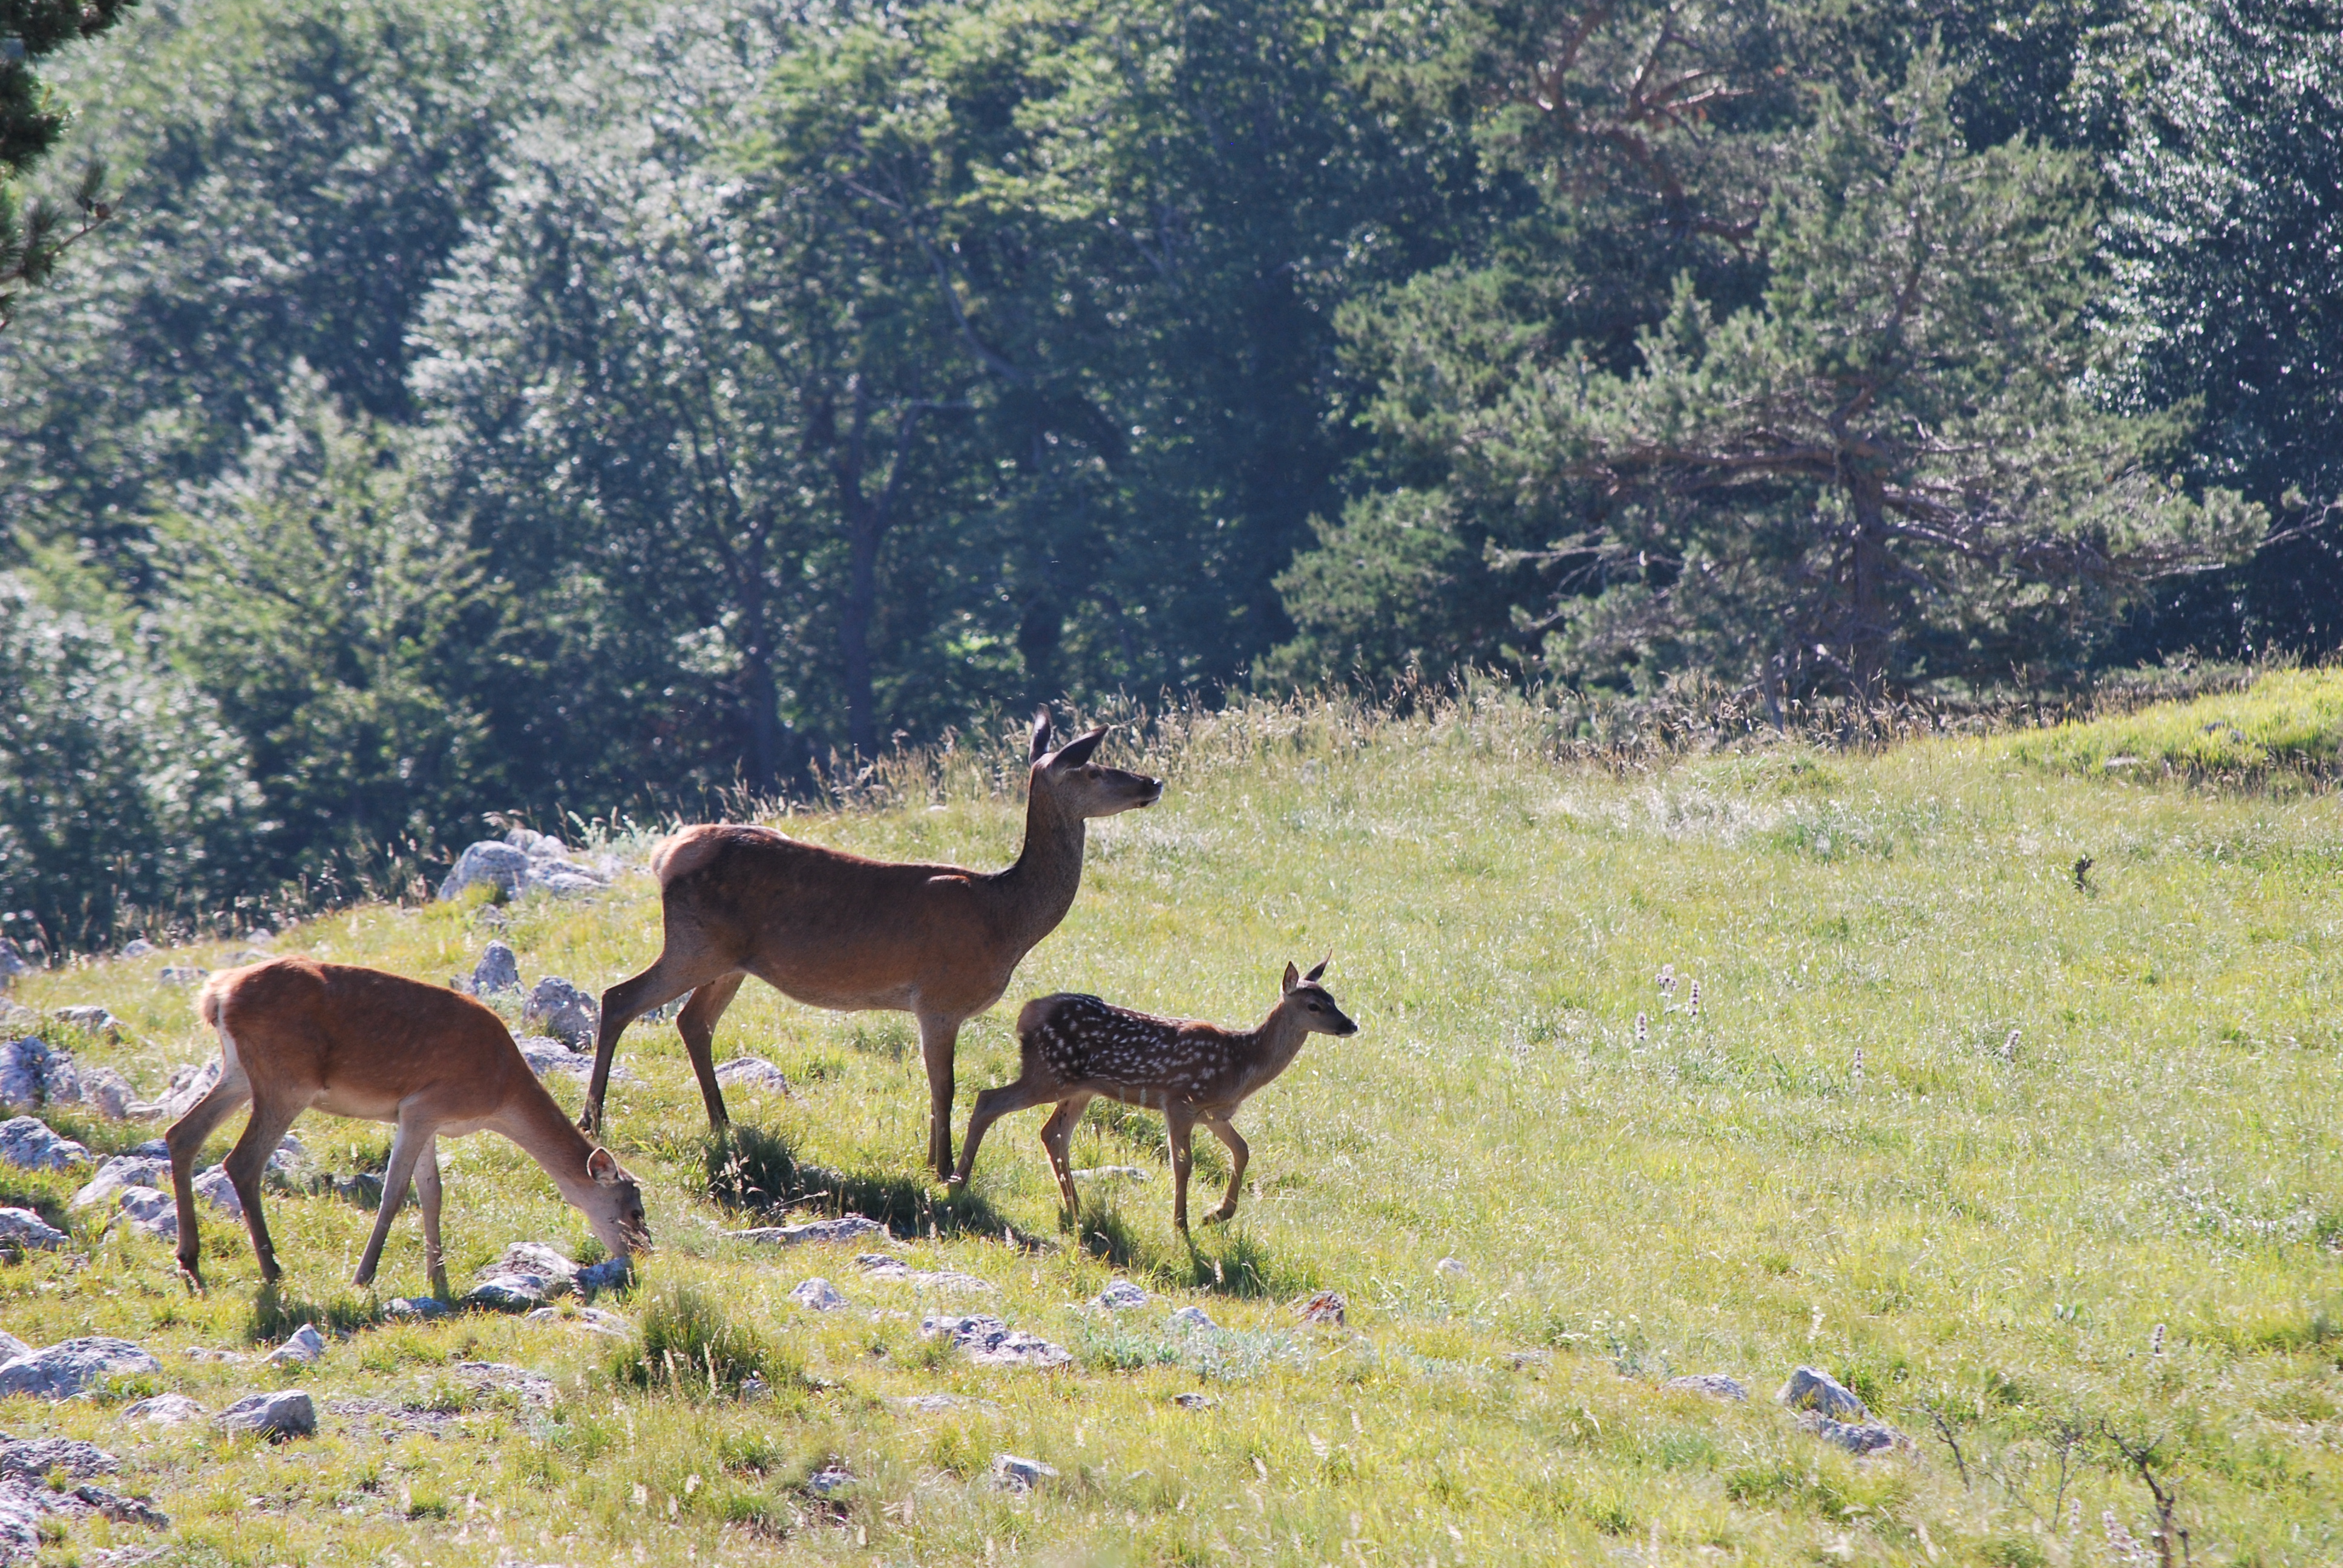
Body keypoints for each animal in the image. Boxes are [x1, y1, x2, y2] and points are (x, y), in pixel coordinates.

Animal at [171, 961, 656, 1293]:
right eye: (635, 1210)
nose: (644, 1253)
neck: (499, 1094)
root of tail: (218, 994)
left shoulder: (427, 1119)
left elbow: (432, 1193)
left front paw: (438, 1278)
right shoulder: (424, 1106)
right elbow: (395, 1191)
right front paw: (364, 1276)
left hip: (238, 1073)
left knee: (182, 1133)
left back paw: (190, 1259)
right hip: (286, 1082)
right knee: (242, 1161)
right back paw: (272, 1269)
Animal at [583, 708, 1162, 1172]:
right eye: (1093, 769)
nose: (1152, 782)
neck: (1006, 918)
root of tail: (667, 853)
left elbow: (933, 1086)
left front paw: (930, 1159)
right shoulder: (939, 999)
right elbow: (945, 1086)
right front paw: (942, 1170)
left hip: (730, 960)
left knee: (692, 1022)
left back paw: (722, 1123)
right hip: (695, 943)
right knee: (620, 998)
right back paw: (593, 1119)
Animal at [946, 961, 1358, 1228]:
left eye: (1333, 998)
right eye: (1314, 1005)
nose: (1351, 1024)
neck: (1242, 1064)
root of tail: (1026, 1014)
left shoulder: (1214, 1113)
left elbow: (1242, 1151)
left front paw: (1217, 1214)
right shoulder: (1179, 1102)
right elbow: (1184, 1164)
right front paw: (1182, 1223)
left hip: (1080, 1088)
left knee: (1052, 1134)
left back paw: (1075, 1208)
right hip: (1049, 1074)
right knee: (989, 1101)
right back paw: (957, 1181)